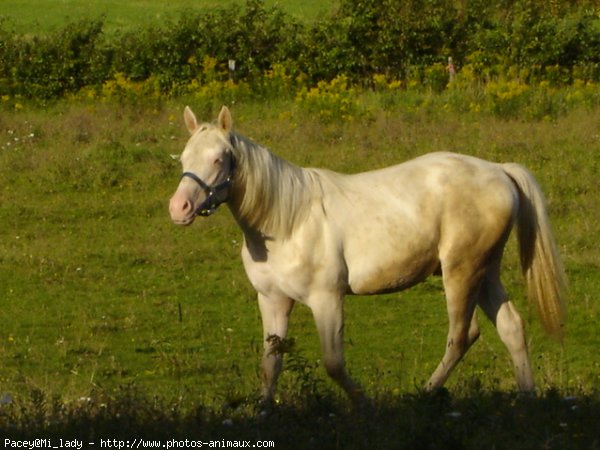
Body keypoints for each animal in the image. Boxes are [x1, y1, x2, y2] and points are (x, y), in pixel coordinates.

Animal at [170, 107, 568, 406]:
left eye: (219, 158)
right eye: (184, 157)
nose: (179, 208)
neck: (287, 221)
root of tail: (499, 170)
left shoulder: (327, 299)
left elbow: (333, 363)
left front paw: (365, 404)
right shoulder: (273, 300)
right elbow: (271, 363)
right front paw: (264, 412)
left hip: (462, 271)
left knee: (462, 335)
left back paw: (424, 394)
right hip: (486, 271)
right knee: (511, 327)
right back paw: (527, 397)